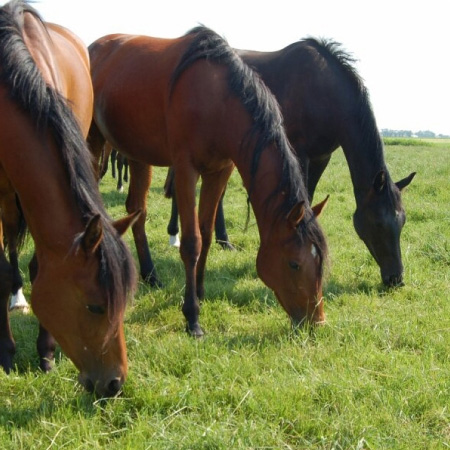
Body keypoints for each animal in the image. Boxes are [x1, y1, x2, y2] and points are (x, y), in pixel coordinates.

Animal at [0, 0, 139, 396]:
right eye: (94, 307)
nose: (114, 384)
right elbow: (2, 271)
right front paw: (6, 352)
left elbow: (37, 266)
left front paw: (46, 353)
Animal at [88, 26, 328, 336]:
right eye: (294, 264)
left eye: (320, 262)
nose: (317, 321)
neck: (219, 101)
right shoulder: (186, 169)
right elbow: (192, 241)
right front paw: (192, 316)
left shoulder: (219, 172)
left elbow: (208, 232)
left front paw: (199, 292)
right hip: (94, 140)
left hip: (138, 154)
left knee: (136, 210)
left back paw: (151, 275)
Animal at [167, 37, 416, 284]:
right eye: (378, 223)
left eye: (402, 221)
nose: (396, 278)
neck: (324, 91)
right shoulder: (299, 152)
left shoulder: (321, 158)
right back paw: (176, 234)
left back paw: (222, 241)